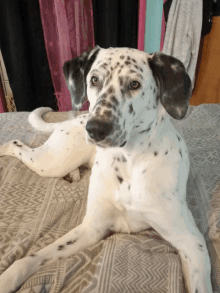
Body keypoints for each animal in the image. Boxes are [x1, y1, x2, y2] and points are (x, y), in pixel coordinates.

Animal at [0, 46, 213, 290]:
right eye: (94, 80)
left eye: (134, 84)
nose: (95, 129)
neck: (128, 160)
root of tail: (77, 118)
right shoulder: (91, 227)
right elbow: (32, 258)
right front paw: (7, 278)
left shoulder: (192, 242)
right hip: (52, 162)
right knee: (14, 143)